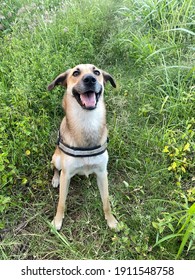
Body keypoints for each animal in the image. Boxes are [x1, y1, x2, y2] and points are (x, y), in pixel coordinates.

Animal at [48, 64, 118, 231]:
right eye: (76, 73)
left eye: (97, 72)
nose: (90, 79)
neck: (87, 122)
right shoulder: (66, 174)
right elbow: (61, 202)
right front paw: (57, 221)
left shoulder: (102, 172)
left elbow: (106, 201)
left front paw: (111, 220)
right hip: (56, 159)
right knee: (55, 168)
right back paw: (55, 179)